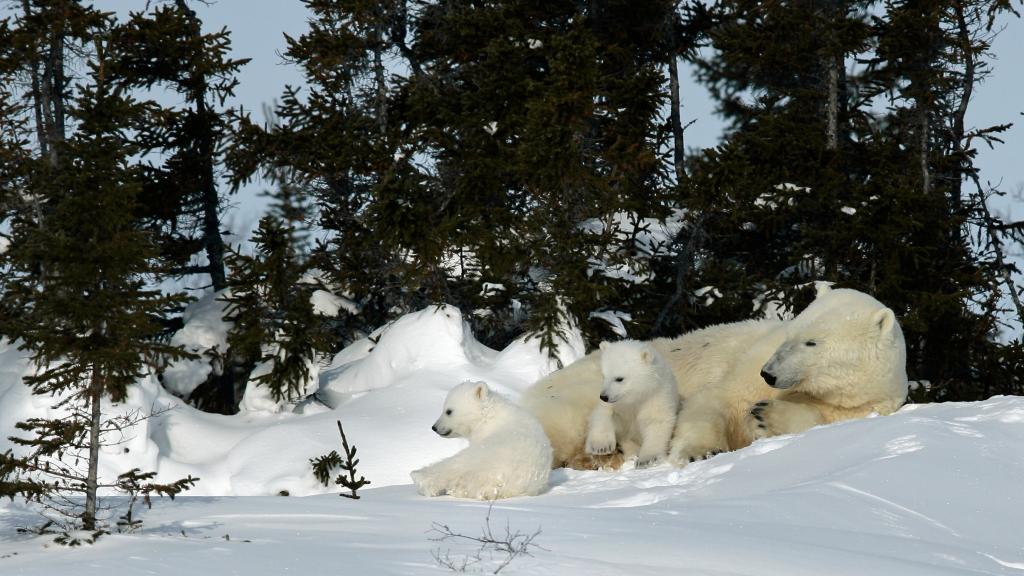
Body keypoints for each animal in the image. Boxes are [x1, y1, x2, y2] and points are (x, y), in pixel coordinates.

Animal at [410, 380, 552, 499]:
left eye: (448, 411)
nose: (434, 427)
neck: (488, 416)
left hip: (484, 456)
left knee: (454, 464)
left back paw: (419, 478)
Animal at [583, 340, 680, 468]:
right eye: (604, 376)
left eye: (619, 378)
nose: (604, 396)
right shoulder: (616, 404)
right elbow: (603, 414)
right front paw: (601, 447)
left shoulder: (656, 398)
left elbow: (656, 423)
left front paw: (647, 459)